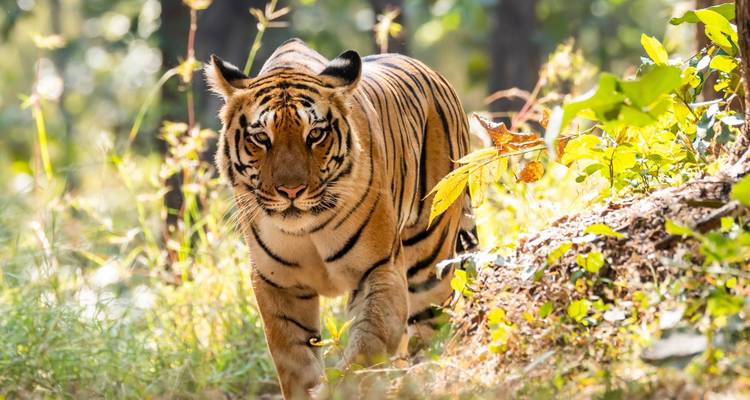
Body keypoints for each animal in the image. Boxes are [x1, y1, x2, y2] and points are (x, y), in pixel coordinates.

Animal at [205, 38, 477, 398]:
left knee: (431, 329)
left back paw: (423, 378)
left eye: (315, 135)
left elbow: (367, 346)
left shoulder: (380, 269)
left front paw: (345, 386)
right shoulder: (277, 283)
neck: (305, 229)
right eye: (261, 138)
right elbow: (294, 359)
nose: (291, 190)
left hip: (430, 262)